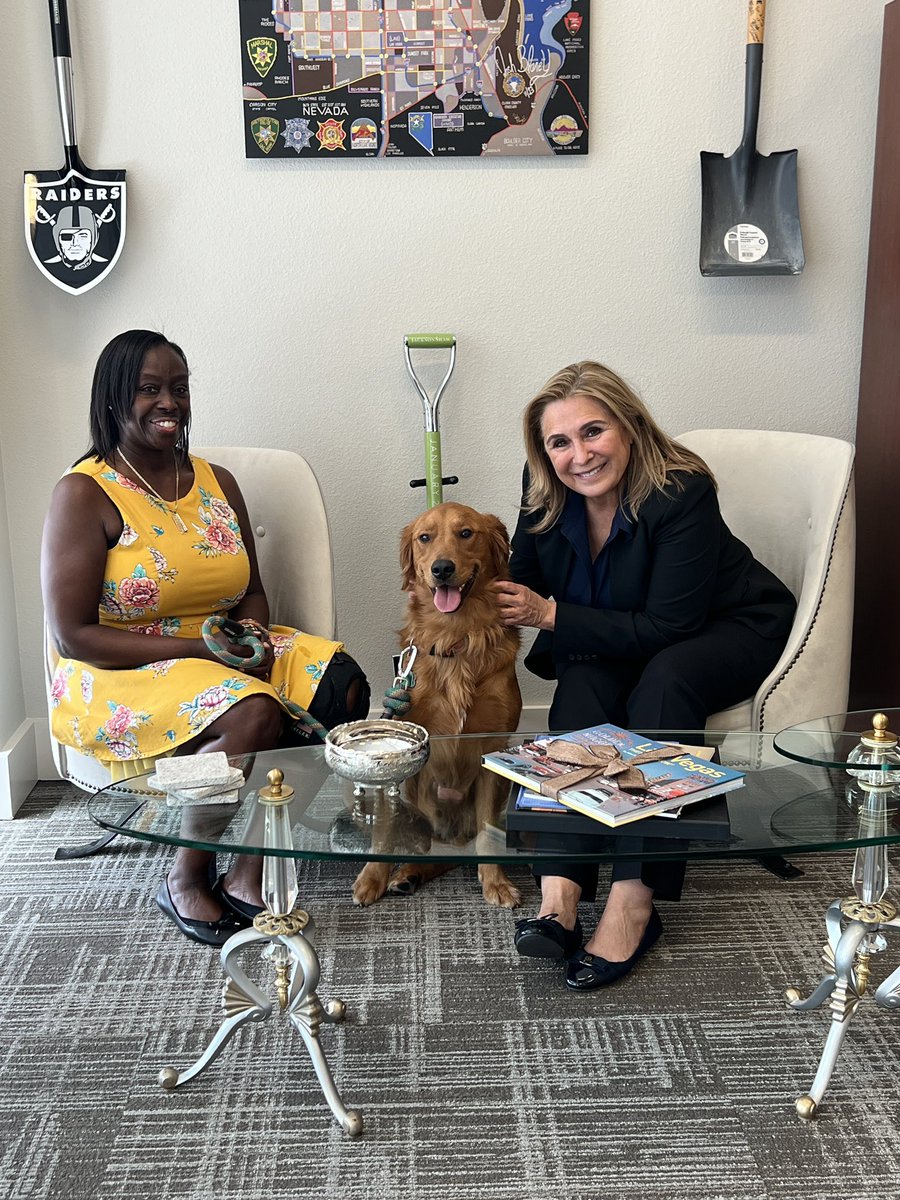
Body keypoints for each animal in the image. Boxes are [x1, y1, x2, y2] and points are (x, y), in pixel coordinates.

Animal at [352, 504, 520, 907]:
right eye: (424, 538)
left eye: (466, 533)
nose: (442, 568)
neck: (455, 637)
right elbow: (384, 830)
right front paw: (373, 876)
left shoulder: (491, 746)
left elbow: (488, 834)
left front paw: (496, 882)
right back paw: (406, 874)